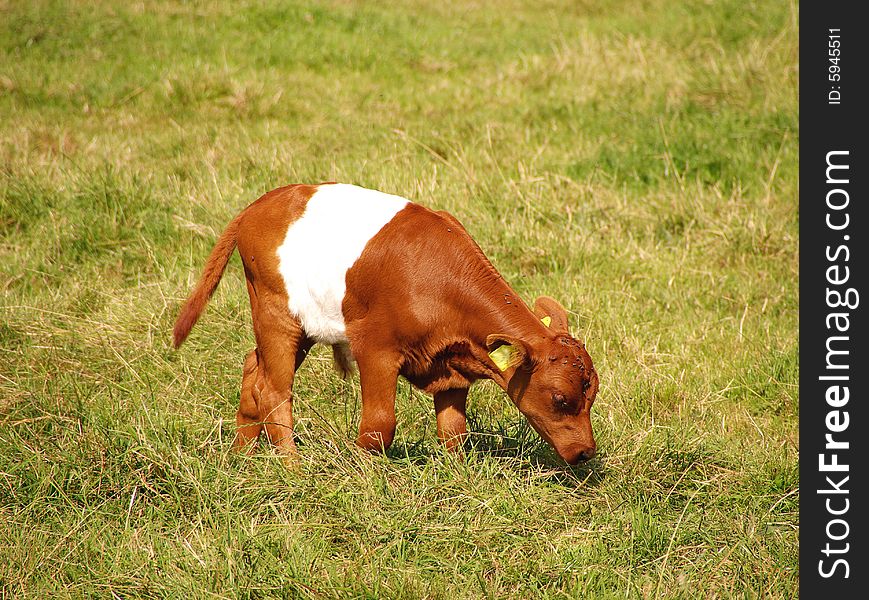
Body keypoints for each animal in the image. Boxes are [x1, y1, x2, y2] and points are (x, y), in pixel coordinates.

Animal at [174, 183, 600, 464]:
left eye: (591, 396)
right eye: (561, 398)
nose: (584, 453)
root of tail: (260, 203)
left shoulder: (452, 365)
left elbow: (453, 431)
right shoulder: (375, 348)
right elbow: (380, 426)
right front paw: (358, 473)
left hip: (302, 325)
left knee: (252, 369)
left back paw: (240, 456)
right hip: (276, 313)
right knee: (274, 390)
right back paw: (292, 467)